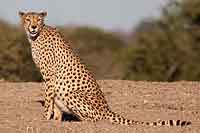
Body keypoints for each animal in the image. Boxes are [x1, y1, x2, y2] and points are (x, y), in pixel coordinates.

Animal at [19, 11, 192, 127]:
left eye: (38, 19)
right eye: (28, 19)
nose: (33, 26)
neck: (36, 36)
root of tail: (107, 109)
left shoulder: (50, 75)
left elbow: (49, 98)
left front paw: (45, 118)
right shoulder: (49, 78)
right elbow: (53, 100)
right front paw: (55, 120)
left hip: (73, 94)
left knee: (95, 119)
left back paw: (79, 123)